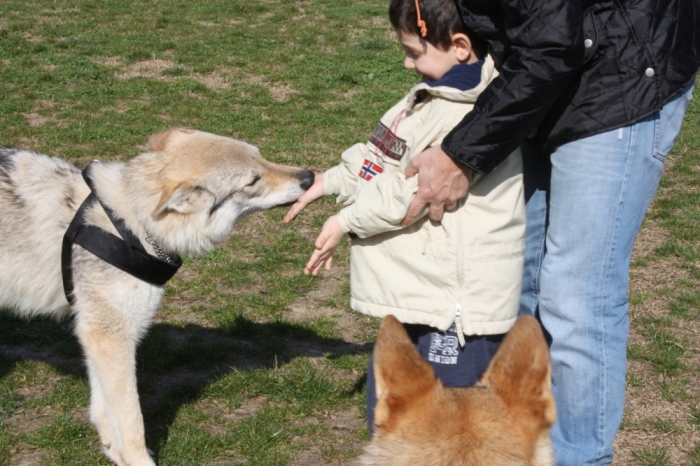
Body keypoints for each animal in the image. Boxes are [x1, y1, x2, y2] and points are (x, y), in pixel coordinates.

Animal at [0, 128, 314, 466]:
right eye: (253, 180)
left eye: (261, 156)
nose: (310, 176)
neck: (131, 226)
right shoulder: (110, 335)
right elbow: (132, 421)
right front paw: (137, 459)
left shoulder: (99, 335)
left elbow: (103, 409)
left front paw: (112, 449)